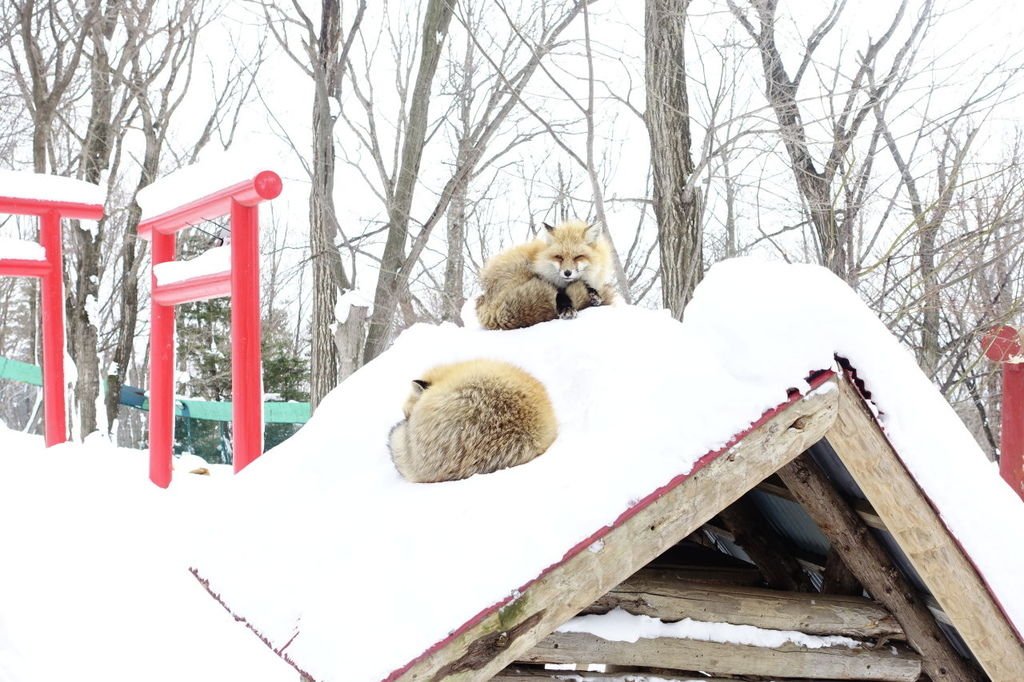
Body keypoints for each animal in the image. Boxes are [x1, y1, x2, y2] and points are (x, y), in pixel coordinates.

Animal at [473, 219, 614, 327]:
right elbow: (561, 292)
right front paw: (566, 308)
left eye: (578, 257)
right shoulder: (545, 278)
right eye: (559, 257)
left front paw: (594, 294)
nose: (567, 273)